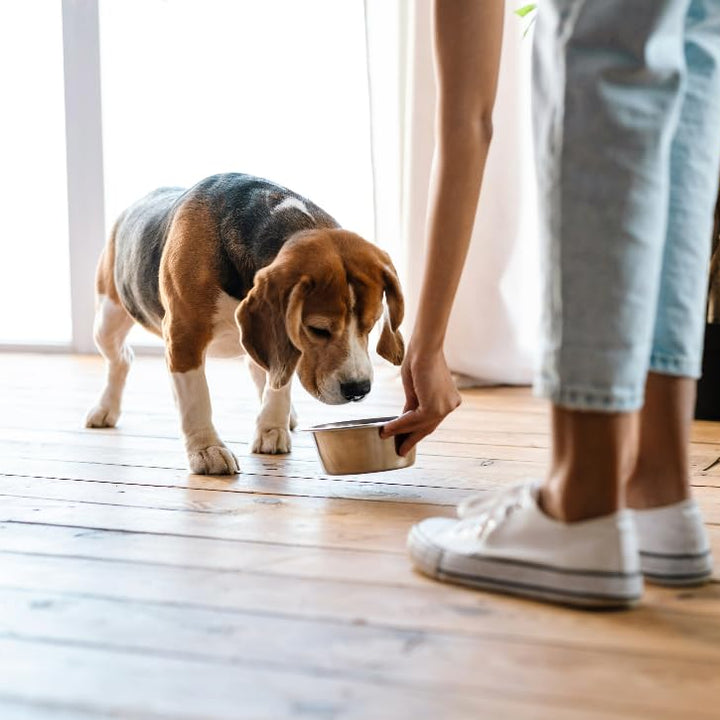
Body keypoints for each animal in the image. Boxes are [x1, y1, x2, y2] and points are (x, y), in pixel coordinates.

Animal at [84, 172, 404, 476]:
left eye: (371, 325)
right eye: (318, 329)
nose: (358, 389)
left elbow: (277, 382)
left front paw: (271, 428)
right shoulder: (184, 336)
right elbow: (196, 400)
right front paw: (206, 450)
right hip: (107, 320)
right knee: (122, 358)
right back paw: (105, 409)